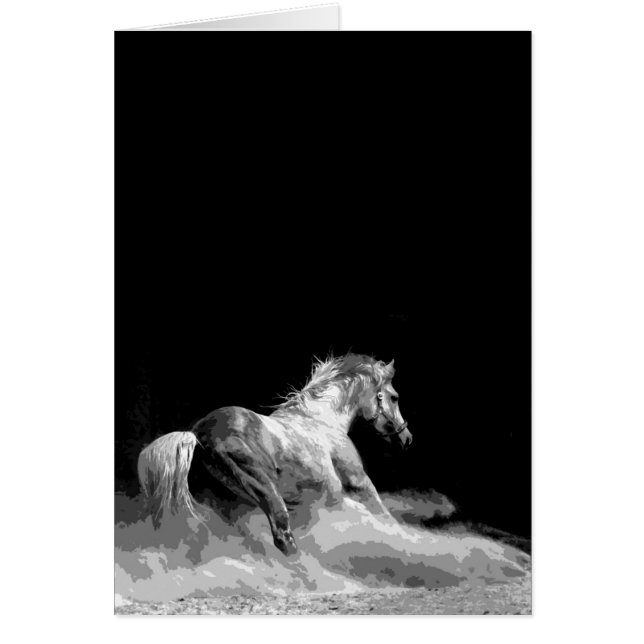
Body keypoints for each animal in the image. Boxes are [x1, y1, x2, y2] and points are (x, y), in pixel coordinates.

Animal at [137, 353, 412, 556]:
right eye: (394, 397)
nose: (406, 437)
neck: (323, 420)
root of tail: (199, 434)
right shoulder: (355, 484)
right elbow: (382, 514)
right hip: (264, 487)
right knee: (283, 538)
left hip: (228, 504)